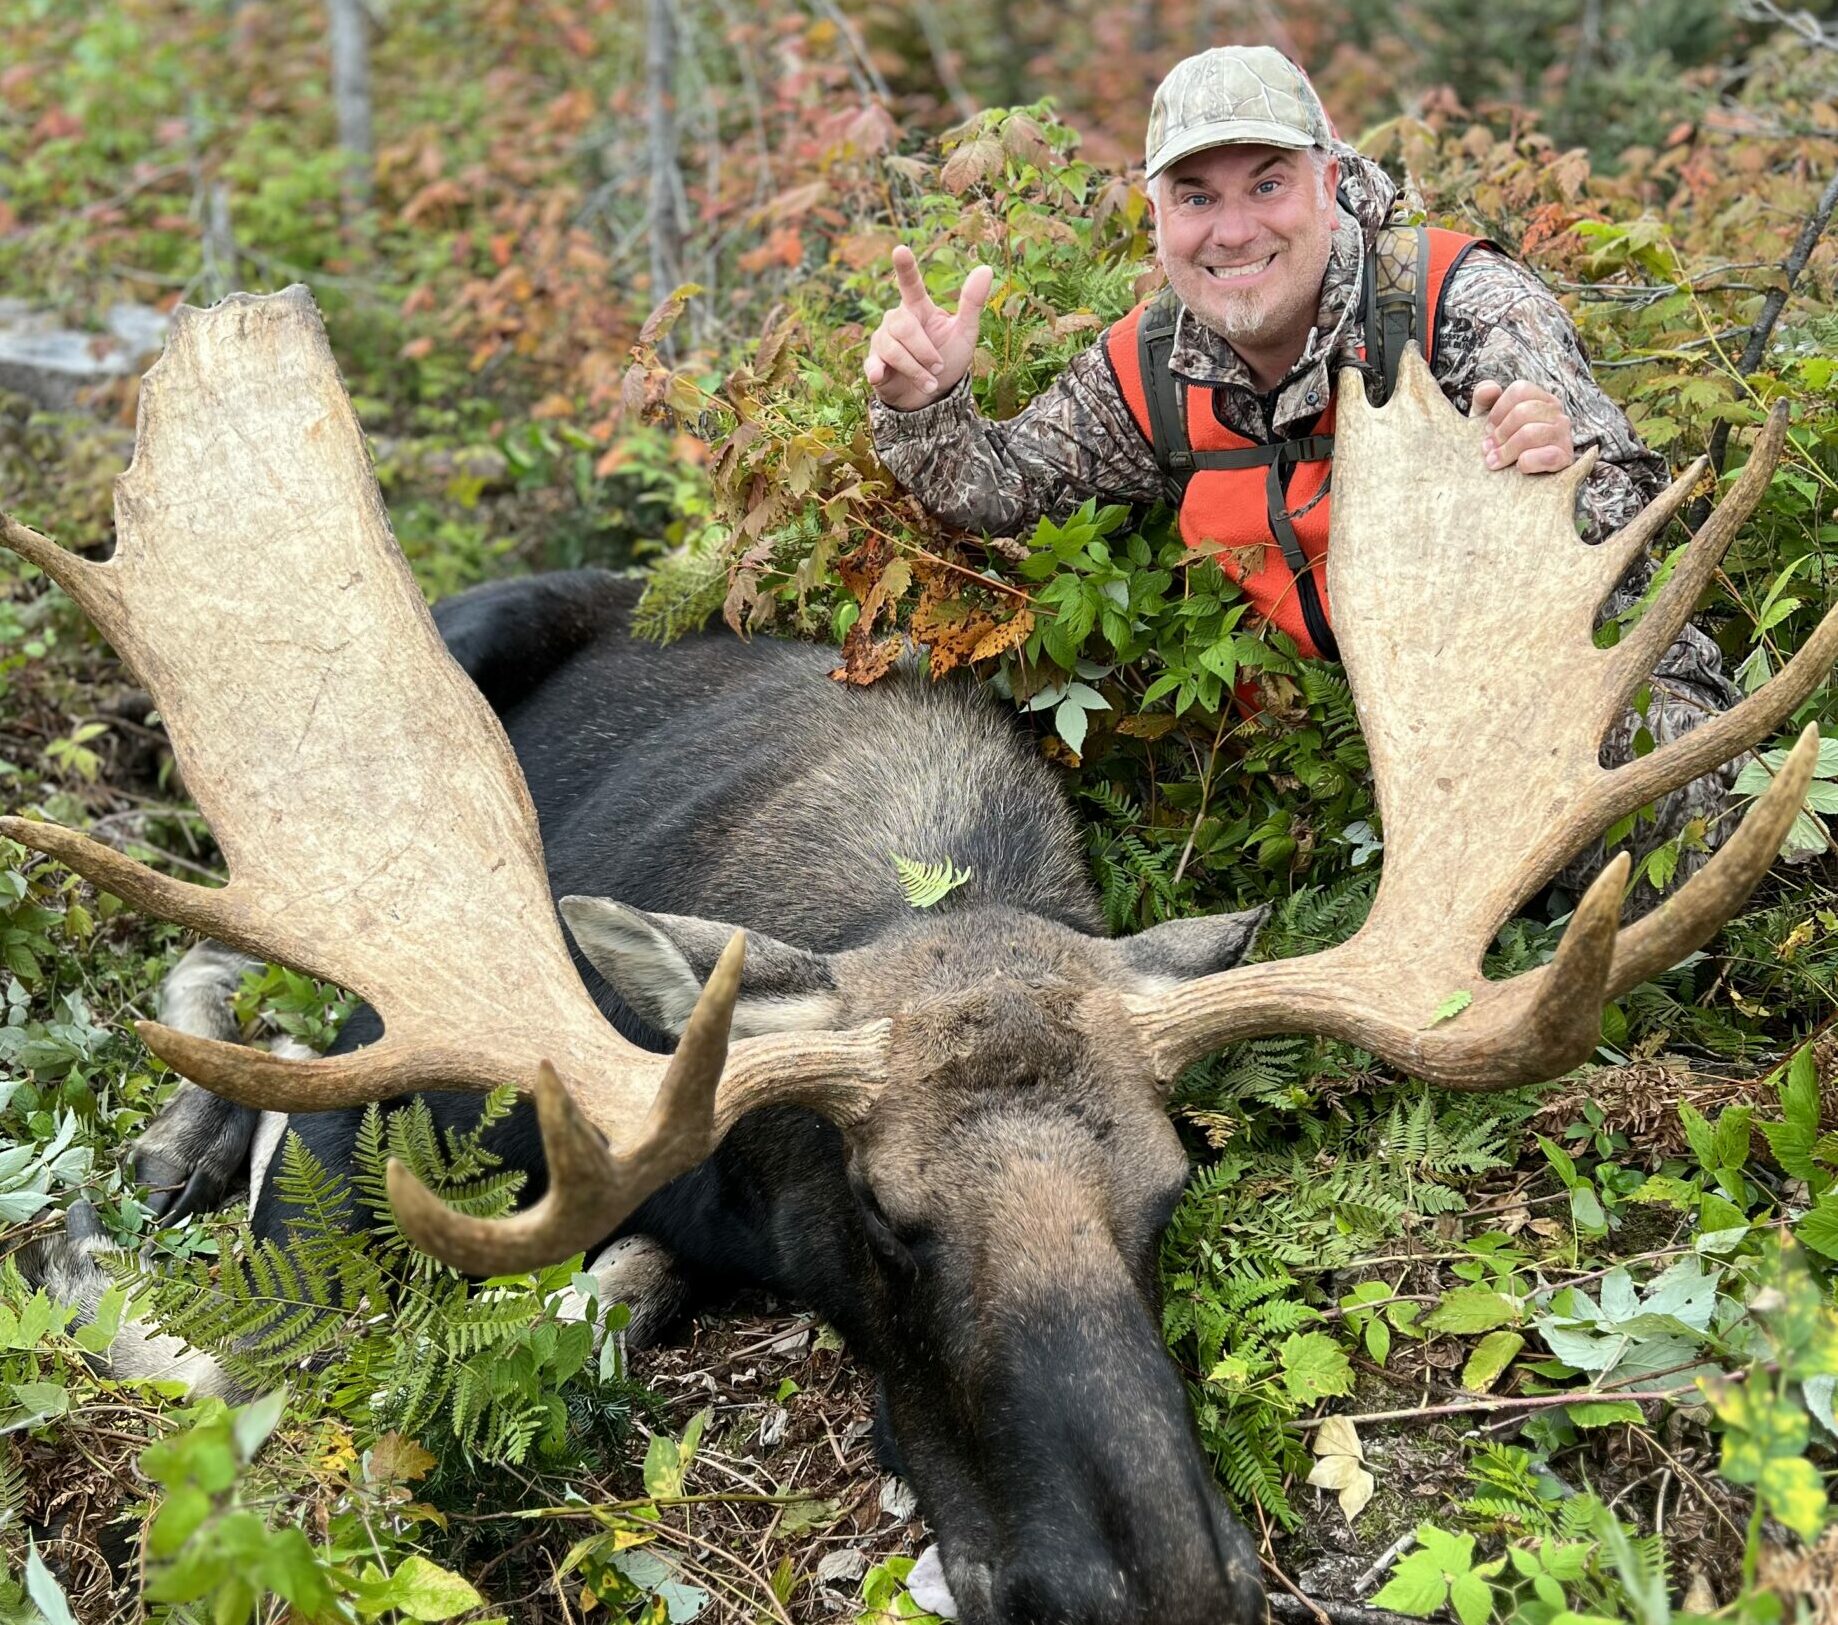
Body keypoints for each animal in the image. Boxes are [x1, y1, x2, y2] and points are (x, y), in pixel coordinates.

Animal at [7, 292, 1830, 1625]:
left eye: (1166, 1189)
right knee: (215, 963)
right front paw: (103, 1243)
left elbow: (615, 1290)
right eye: (885, 1215)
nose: (1165, 1588)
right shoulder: (372, 1157)